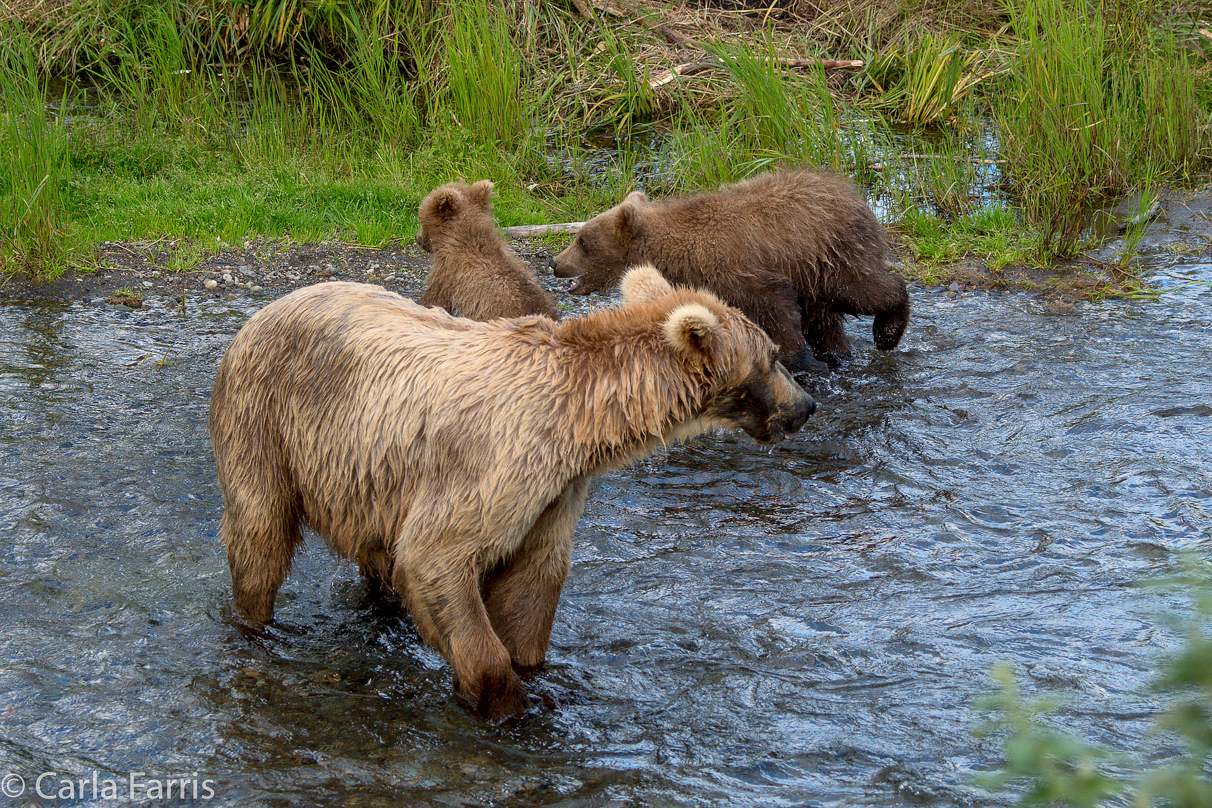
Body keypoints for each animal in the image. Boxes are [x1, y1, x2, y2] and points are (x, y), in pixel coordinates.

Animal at [208, 270, 814, 721]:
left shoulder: (557, 492)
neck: (583, 424)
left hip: (366, 473)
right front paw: (506, 703)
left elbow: (531, 581)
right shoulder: (498, 466)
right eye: (773, 355)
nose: (806, 406)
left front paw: (533, 673)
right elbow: (437, 558)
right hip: (265, 421)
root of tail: (263, 311)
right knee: (259, 532)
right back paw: (254, 627)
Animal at [550, 172, 911, 375]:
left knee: (864, 289)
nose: (555, 262)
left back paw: (887, 332)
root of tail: (854, 193)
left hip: (833, 254)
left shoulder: (741, 271)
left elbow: (777, 310)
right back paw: (838, 353)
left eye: (583, 241)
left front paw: (795, 360)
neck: (677, 253)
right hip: (812, 272)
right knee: (824, 319)